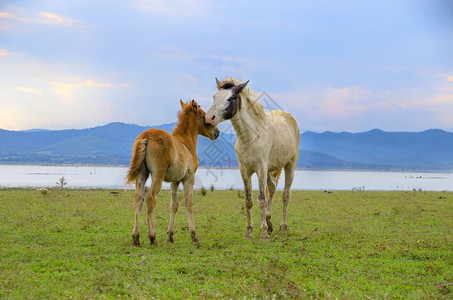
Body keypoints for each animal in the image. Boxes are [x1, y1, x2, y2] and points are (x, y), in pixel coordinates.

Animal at [206, 78, 300, 239]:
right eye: (214, 97)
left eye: (230, 98)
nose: (208, 119)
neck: (250, 137)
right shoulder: (244, 169)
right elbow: (248, 200)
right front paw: (249, 232)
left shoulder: (260, 167)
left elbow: (261, 199)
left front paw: (263, 233)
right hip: (270, 169)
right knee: (272, 187)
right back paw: (269, 222)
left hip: (290, 166)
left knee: (286, 196)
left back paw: (282, 228)